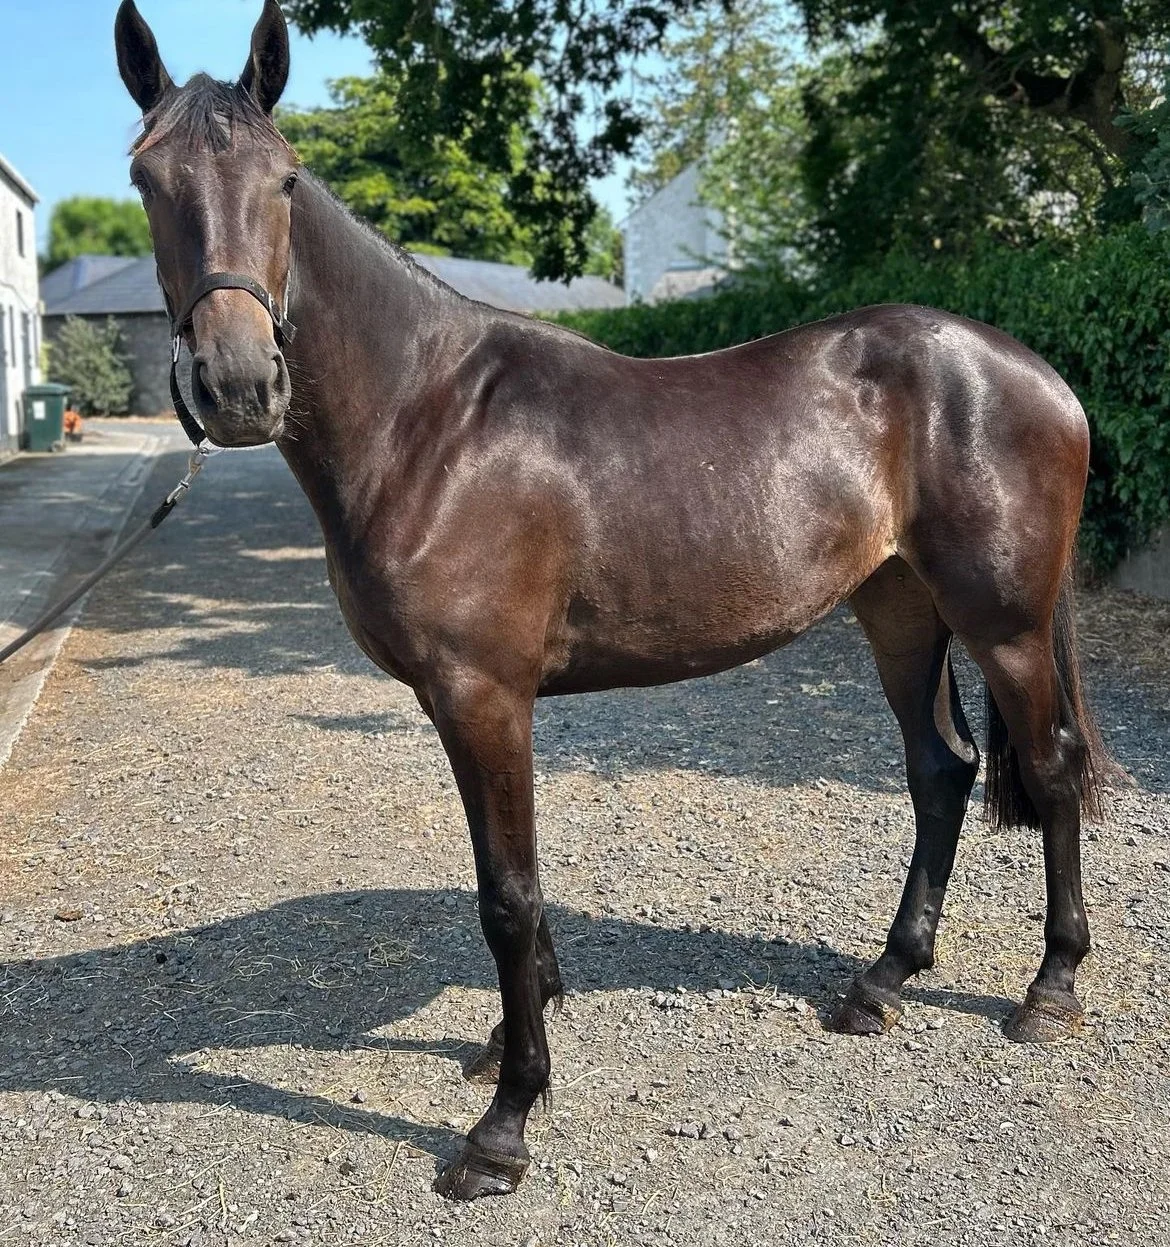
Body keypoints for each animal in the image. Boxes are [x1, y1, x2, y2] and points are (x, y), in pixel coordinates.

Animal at [115, 0, 1110, 1202]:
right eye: (148, 179)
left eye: (286, 179)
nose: (239, 385)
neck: (429, 418)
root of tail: (1034, 373)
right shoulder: (463, 701)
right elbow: (511, 885)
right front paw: (513, 1038)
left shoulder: (484, 693)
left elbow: (507, 894)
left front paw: (504, 1126)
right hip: (899, 611)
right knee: (940, 770)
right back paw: (882, 980)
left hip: (1003, 622)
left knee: (1048, 767)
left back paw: (1048, 990)